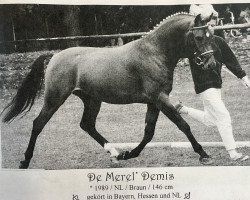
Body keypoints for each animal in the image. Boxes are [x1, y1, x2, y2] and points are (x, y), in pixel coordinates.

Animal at [0, 12, 216, 169]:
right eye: (198, 37)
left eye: (211, 36)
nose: (211, 64)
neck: (155, 52)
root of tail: (54, 56)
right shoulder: (160, 99)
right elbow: (183, 125)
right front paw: (204, 154)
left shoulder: (154, 102)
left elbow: (148, 132)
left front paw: (129, 154)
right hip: (55, 98)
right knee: (38, 124)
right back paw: (25, 161)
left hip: (92, 100)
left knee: (87, 125)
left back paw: (116, 153)